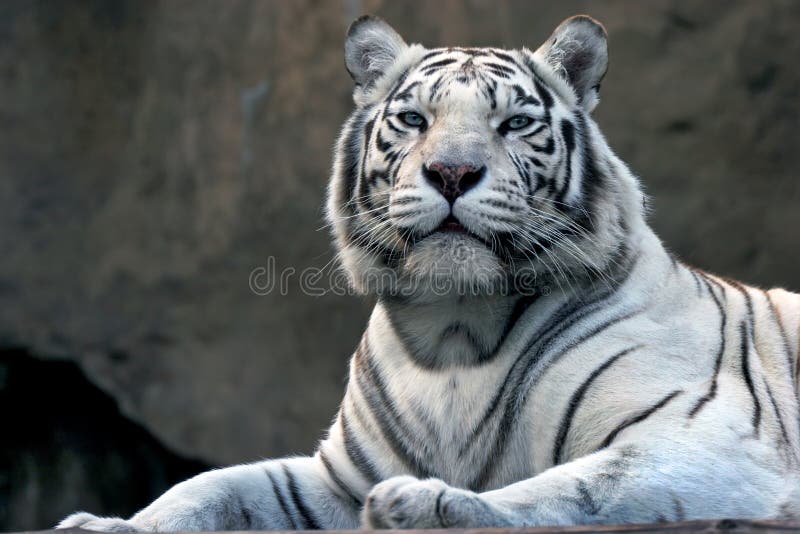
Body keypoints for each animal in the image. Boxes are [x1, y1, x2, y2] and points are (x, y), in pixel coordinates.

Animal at [61, 15, 800, 532]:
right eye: (415, 118)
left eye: (515, 123)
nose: (451, 171)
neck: (453, 330)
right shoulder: (337, 479)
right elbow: (217, 486)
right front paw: (108, 524)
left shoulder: (703, 439)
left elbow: (573, 488)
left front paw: (426, 504)